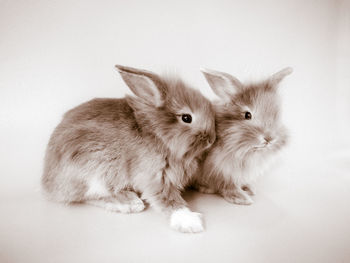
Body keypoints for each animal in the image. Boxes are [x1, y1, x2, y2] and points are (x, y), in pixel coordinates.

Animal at [41, 65, 216, 234]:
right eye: (186, 118)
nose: (211, 139)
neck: (158, 134)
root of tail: (47, 184)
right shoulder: (155, 177)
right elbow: (168, 200)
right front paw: (190, 222)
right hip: (95, 172)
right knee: (87, 197)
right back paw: (128, 202)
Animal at [194, 67, 292, 206]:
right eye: (247, 115)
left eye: (276, 115)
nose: (269, 138)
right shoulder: (221, 170)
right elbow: (227, 186)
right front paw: (241, 198)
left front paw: (249, 188)